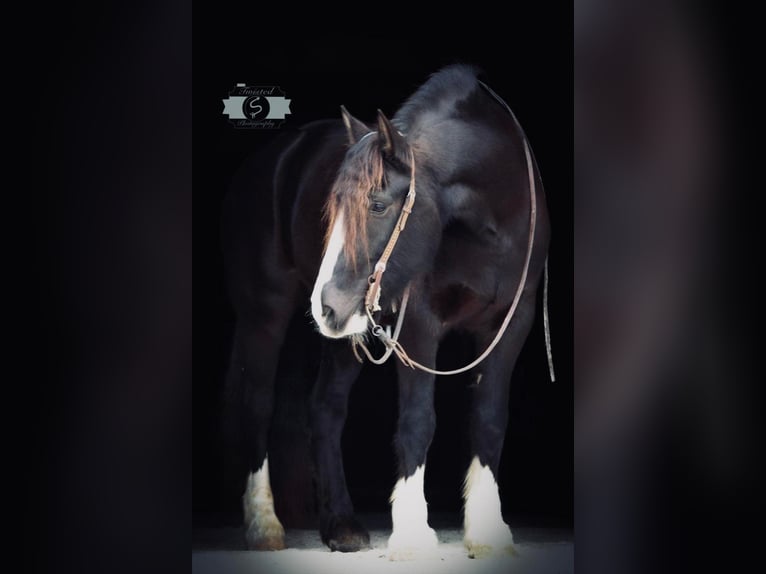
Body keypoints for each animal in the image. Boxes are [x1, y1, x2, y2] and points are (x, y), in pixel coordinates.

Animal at [222, 65, 552, 560]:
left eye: (377, 205)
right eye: (333, 208)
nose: (324, 305)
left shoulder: (512, 324)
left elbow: (490, 420)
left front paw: (488, 531)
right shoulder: (418, 322)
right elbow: (417, 422)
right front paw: (414, 533)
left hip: (344, 336)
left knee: (325, 408)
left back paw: (341, 525)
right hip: (265, 313)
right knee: (256, 405)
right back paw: (264, 525)